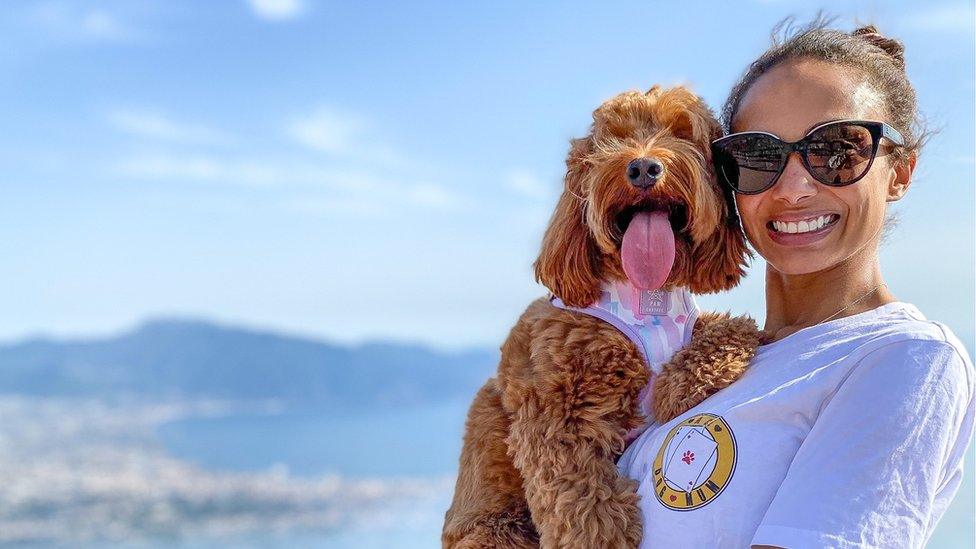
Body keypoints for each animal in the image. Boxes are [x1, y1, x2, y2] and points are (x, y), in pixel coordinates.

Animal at [442, 85, 764, 548]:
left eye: (682, 132)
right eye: (613, 138)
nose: (643, 167)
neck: (648, 296)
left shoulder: (701, 323)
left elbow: (733, 324)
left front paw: (678, 385)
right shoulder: (552, 411)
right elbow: (575, 491)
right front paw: (603, 534)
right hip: (499, 532)